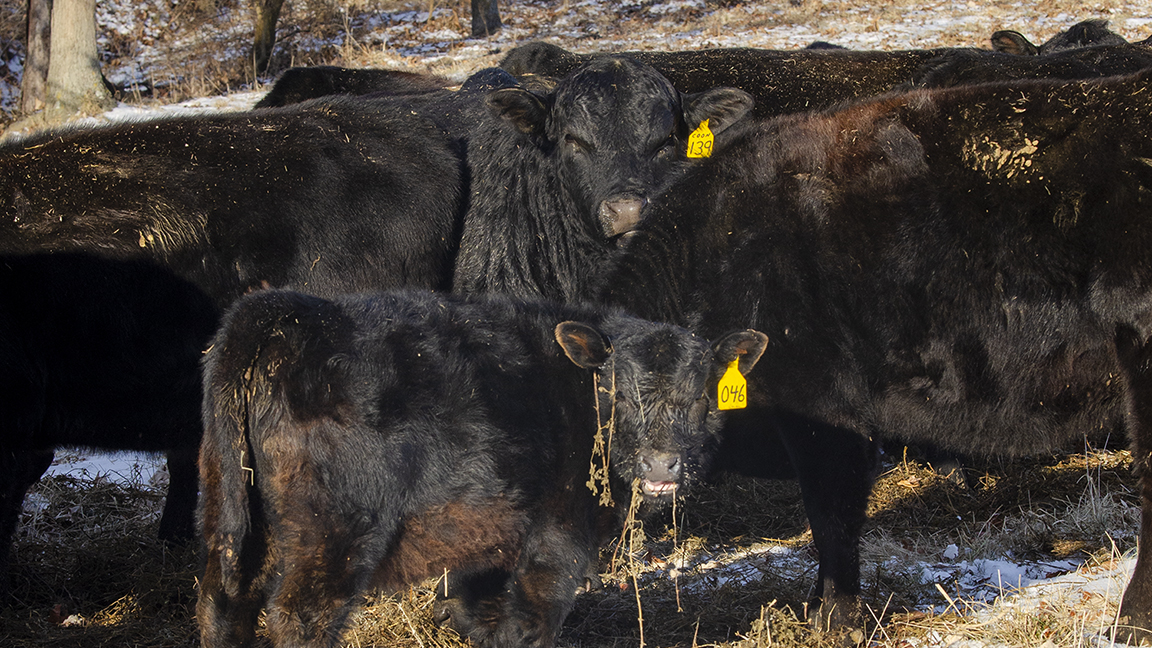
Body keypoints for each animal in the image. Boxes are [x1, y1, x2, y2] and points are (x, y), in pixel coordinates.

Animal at [196, 288, 767, 648]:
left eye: (701, 396)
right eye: (618, 394)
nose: (661, 462)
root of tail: (287, 311)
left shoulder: (487, 546)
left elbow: (484, 619)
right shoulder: (555, 541)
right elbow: (531, 623)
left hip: (231, 514)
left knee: (222, 605)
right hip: (333, 535)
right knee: (301, 618)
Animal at [591, 68, 1152, 641]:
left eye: (689, 394)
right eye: (618, 396)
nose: (655, 468)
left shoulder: (824, 407)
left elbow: (832, 513)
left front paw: (837, 619)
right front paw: (818, 608)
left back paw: (1132, 623)